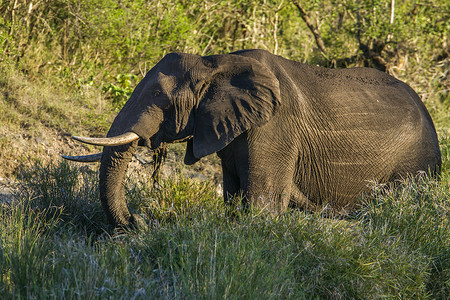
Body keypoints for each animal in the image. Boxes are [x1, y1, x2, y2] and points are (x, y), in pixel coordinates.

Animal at [62, 49, 440, 227]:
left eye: (158, 95)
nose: (139, 221)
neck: (214, 62)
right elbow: (233, 195)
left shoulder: (275, 127)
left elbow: (261, 206)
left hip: (416, 160)